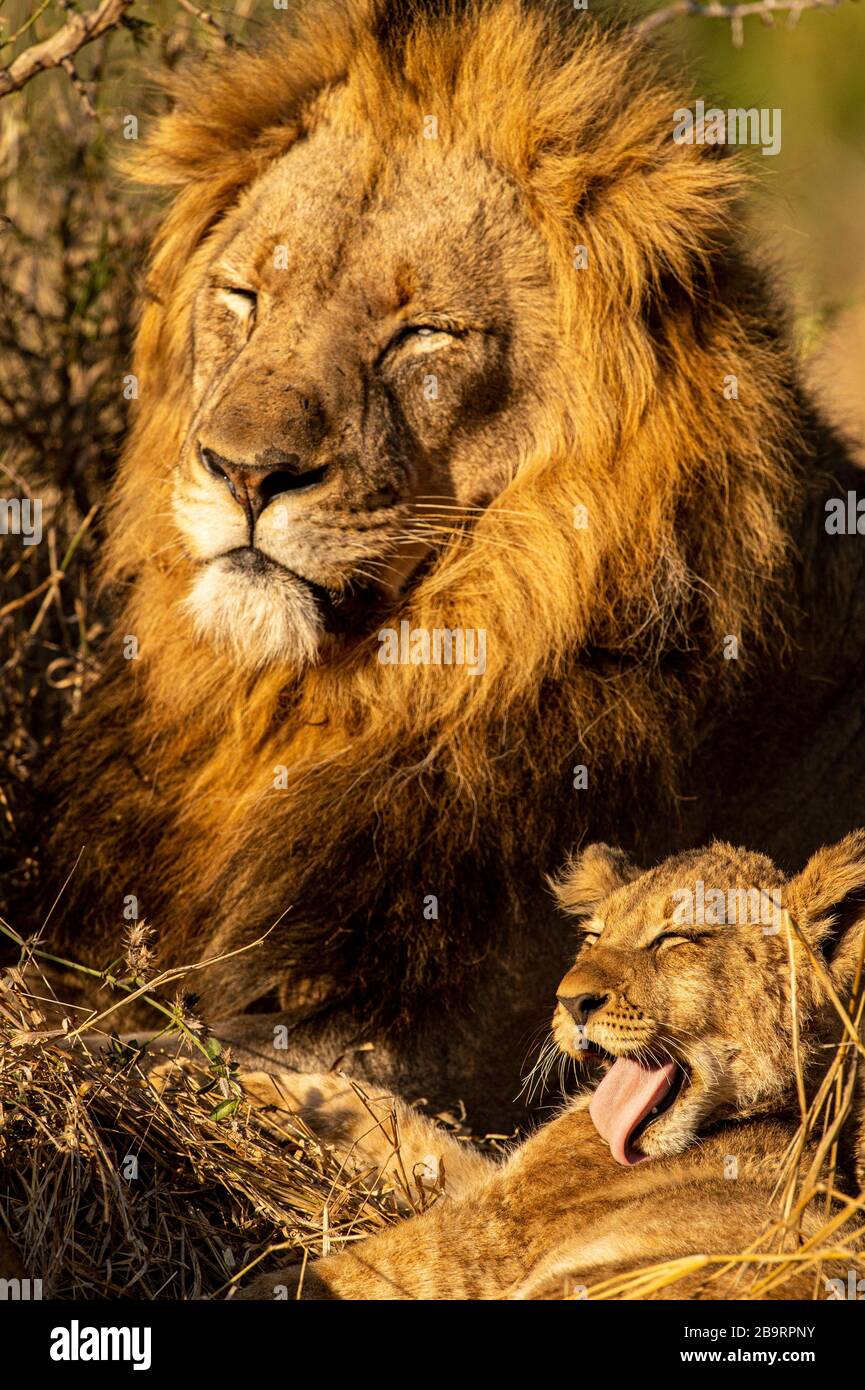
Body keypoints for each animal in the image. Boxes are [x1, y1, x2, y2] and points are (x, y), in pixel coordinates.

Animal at [236, 834, 865, 1300]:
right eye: (593, 936)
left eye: (675, 939)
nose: (569, 1000)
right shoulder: (493, 1181)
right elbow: (393, 1122)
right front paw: (258, 1084)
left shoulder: (495, 1231)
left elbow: (356, 1267)